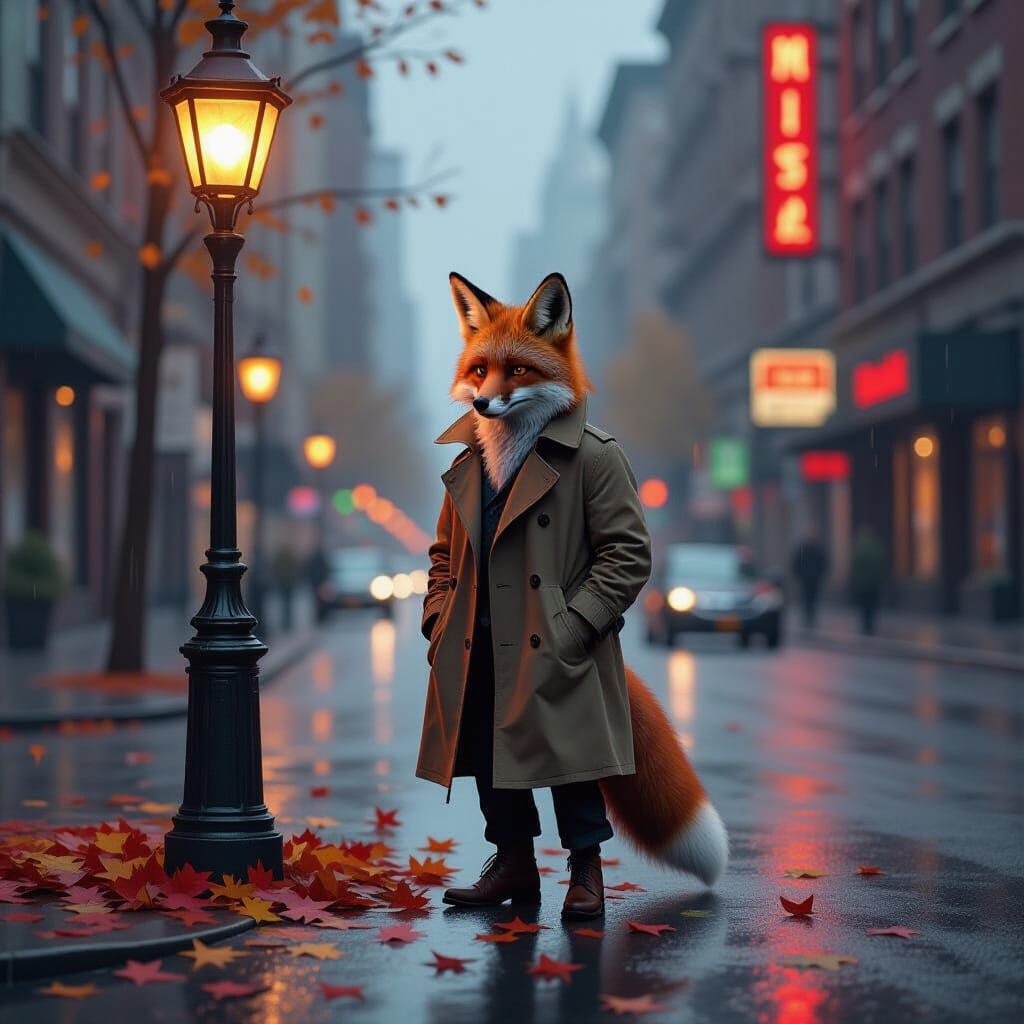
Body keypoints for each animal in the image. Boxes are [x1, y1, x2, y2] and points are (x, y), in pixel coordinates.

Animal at [445, 271, 728, 888]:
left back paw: (580, 895)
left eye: (517, 371)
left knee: (580, 811)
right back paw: (509, 880)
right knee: (504, 801)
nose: (481, 402)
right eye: (479, 370)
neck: (514, 453)